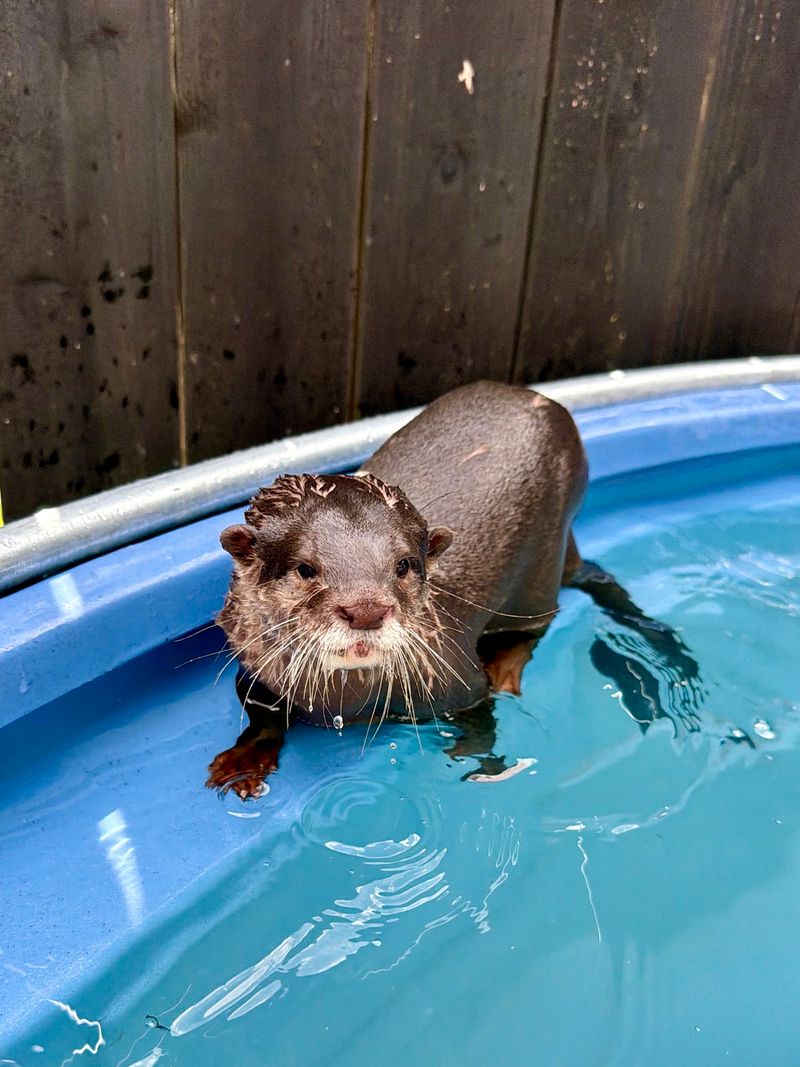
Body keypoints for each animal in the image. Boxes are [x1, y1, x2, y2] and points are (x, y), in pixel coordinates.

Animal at [208, 381, 702, 797]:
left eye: (403, 565)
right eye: (306, 569)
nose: (366, 609)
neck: (346, 702)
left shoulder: (456, 679)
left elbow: (481, 714)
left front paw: (484, 767)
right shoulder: (253, 665)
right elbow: (262, 713)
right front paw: (244, 761)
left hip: (543, 562)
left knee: (536, 623)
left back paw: (505, 667)